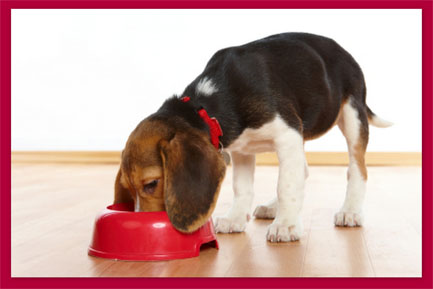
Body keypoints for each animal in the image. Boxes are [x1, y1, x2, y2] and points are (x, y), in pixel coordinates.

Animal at [113, 32, 390, 241]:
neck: (205, 106)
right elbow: (243, 187)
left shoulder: (287, 134)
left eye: (151, 184)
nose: (143, 229)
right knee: (302, 170)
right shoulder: (242, 150)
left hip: (352, 115)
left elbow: (286, 184)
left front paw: (286, 225)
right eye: (127, 188)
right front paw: (236, 218)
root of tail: (342, 49)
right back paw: (272, 208)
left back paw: (350, 211)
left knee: (357, 169)